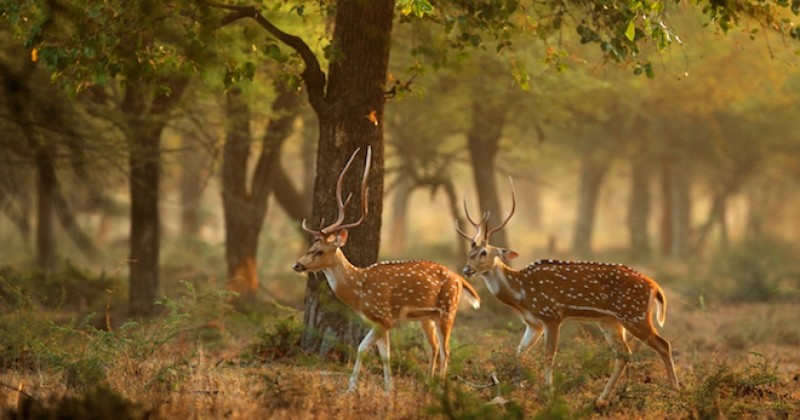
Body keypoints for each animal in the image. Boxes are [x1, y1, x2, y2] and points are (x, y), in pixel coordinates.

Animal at [294, 146, 482, 392]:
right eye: (311, 246)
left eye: (319, 250)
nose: (297, 264)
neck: (359, 291)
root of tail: (459, 278)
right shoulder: (379, 322)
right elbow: (385, 355)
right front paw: (388, 389)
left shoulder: (384, 317)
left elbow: (362, 348)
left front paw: (351, 388)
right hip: (428, 316)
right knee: (434, 347)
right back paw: (429, 383)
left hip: (447, 310)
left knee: (446, 349)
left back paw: (440, 387)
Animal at [456, 179, 676, 406]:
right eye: (470, 252)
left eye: (484, 252)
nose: (467, 269)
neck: (521, 294)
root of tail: (655, 287)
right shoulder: (533, 323)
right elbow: (519, 352)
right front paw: (516, 389)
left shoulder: (552, 315)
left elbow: (549, 356)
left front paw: (548, 392)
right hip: (611, 321)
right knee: (624, 353)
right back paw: (602, 398)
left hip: (634, 314)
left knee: (663, 344)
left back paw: (674, 391)